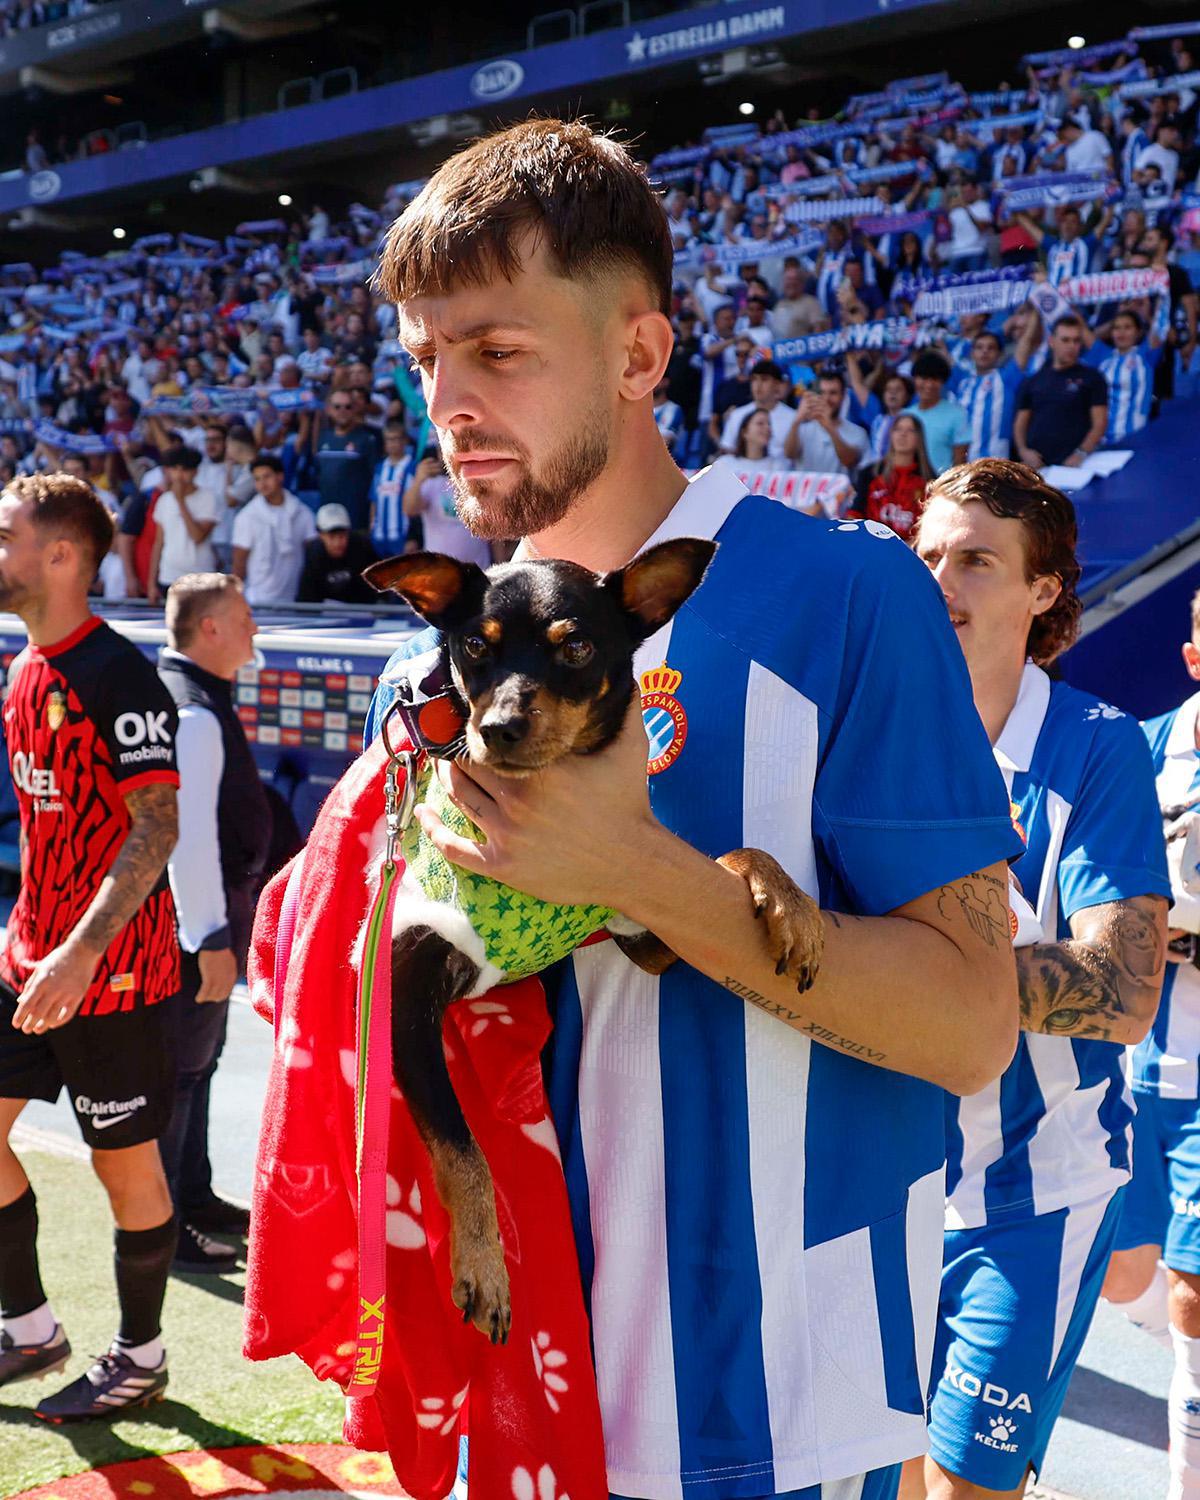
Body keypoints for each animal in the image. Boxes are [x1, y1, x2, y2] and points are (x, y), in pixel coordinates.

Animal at [361, 543, 822, 1350]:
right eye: (473, 646)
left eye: (575, 648)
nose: (501, 726)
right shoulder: (405, 987)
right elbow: (463, 1149)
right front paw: (485, 1267)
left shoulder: (645, 927)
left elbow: (728, 855)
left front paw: (788, 904)